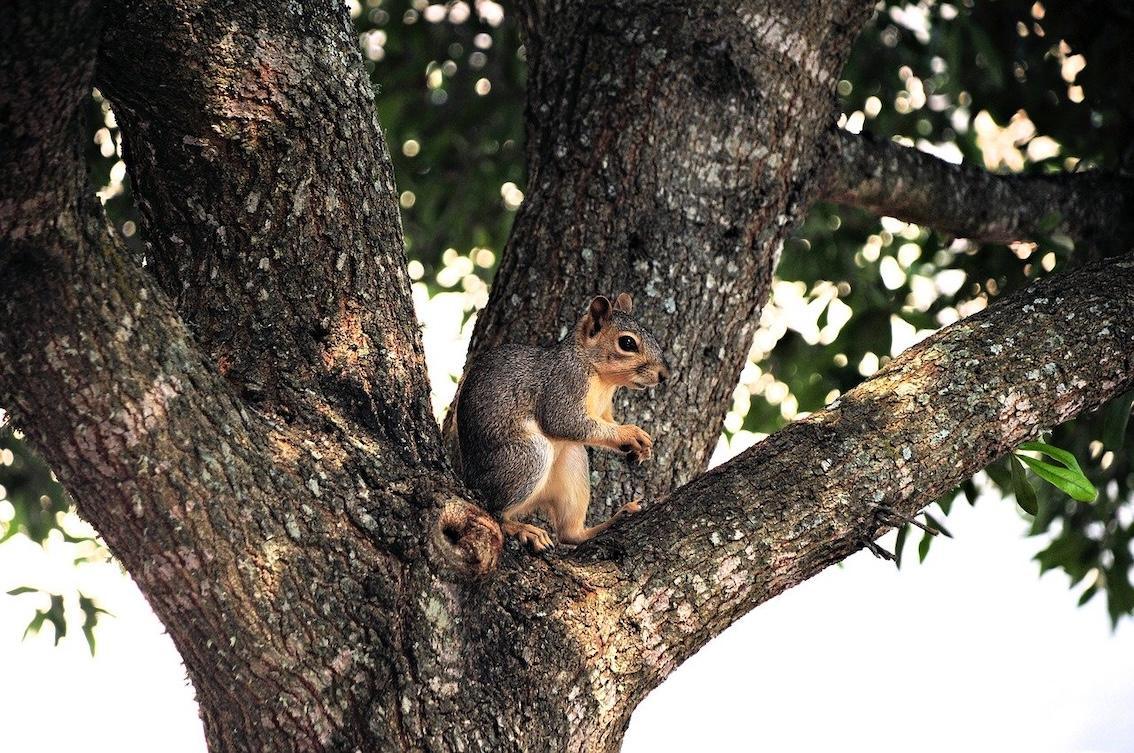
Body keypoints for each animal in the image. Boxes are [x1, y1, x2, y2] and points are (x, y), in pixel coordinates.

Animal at [446, 294, 666, 553]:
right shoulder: (563, 384)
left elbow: (606, 423)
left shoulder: (603, 412)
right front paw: (629, 434)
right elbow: (563, 421)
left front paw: (641, 445)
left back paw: (612, 520)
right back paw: (521, 529)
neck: (602, 380)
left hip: (573, 460)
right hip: (525, 456)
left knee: (569, 534)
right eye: (628, 343)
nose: (664, 375)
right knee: (494, 509)